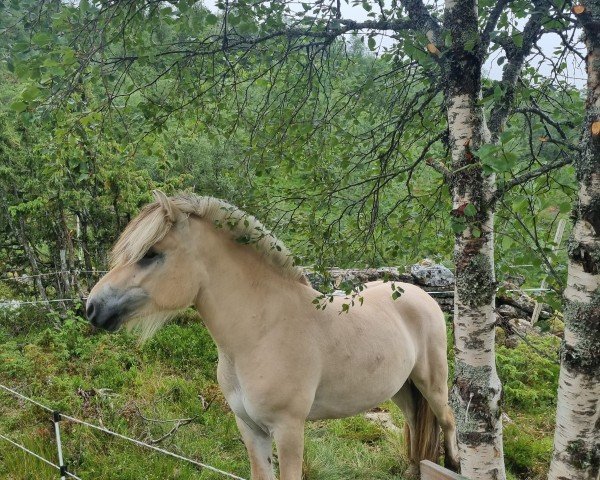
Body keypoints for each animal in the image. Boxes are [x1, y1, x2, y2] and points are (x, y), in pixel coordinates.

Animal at [85, 189, 460, 478]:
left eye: (151, 254)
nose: (93, 307)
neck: (261, 331)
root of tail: (422, 294)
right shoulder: (250, 428)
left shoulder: (288, 429)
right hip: (402, 388)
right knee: (414, 426)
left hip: (432, 384)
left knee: (449, 423)